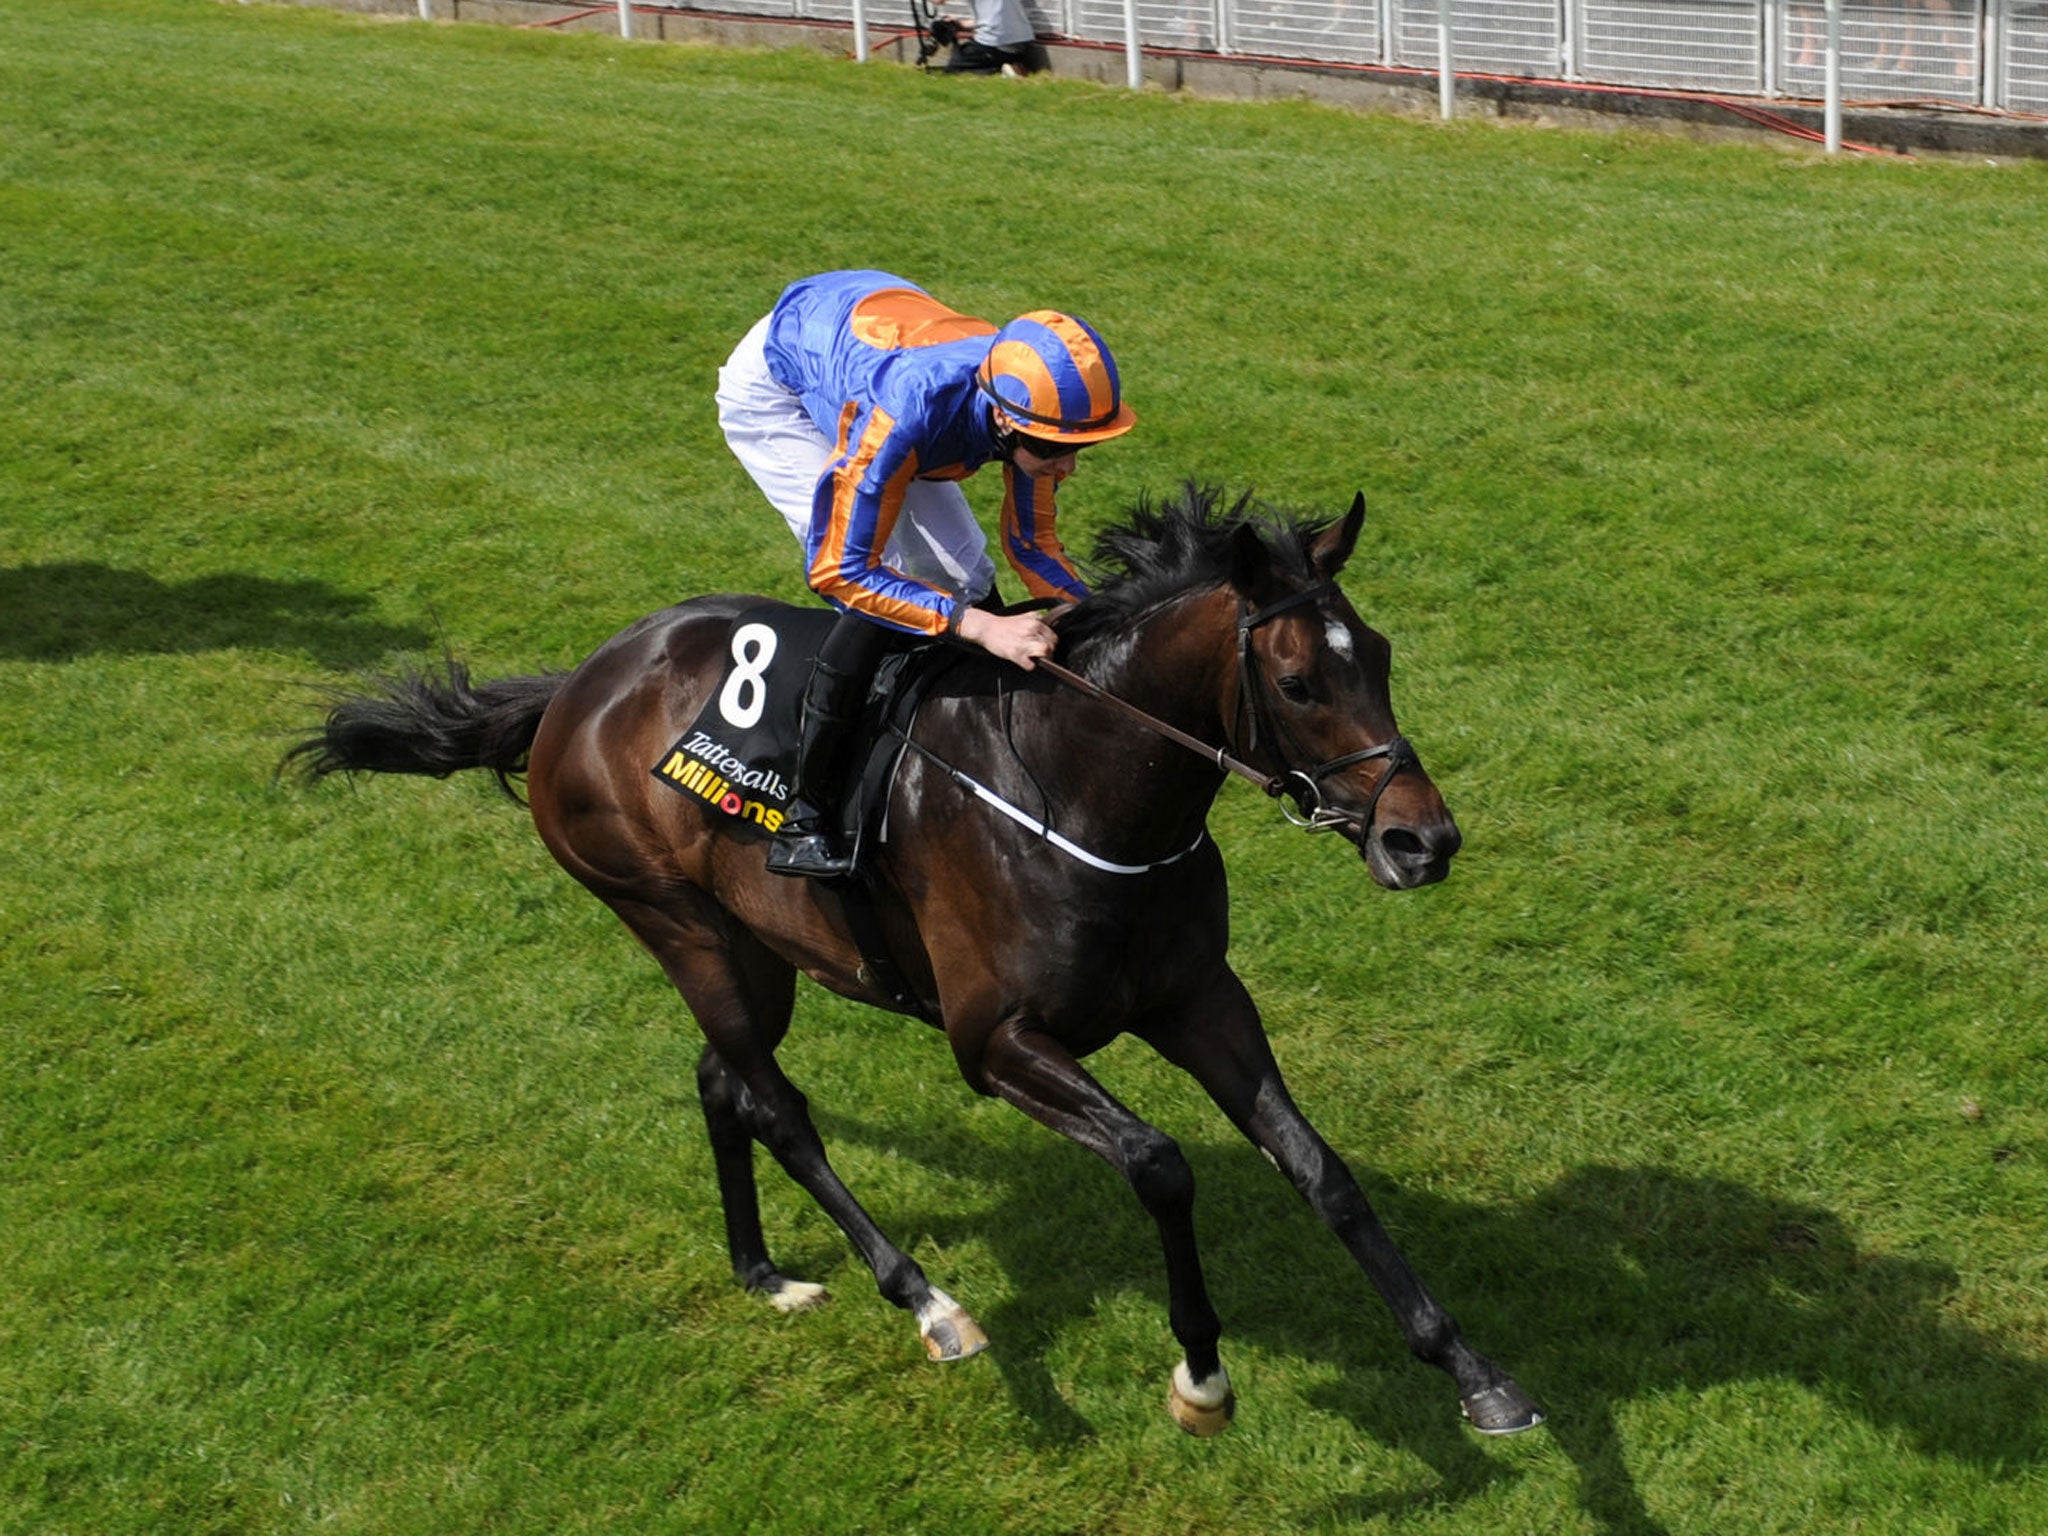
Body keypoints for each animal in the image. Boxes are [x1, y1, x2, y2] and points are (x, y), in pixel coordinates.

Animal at [288, 487, 1540, 1441]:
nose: (1421, 841)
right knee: (776, 1106)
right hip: (671, 917)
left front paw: (1474, 1375)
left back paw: (761, 1270)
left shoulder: (1197, 999)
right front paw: (1200, 1377)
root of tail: (578, 687)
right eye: (1295, 683)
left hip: (752, 950)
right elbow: (1158, 1163)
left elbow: (1319, 1169)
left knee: (721, 1079)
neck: (1081, 787)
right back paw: (927, 1302)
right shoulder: (995, 1042)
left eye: (1380, 656)